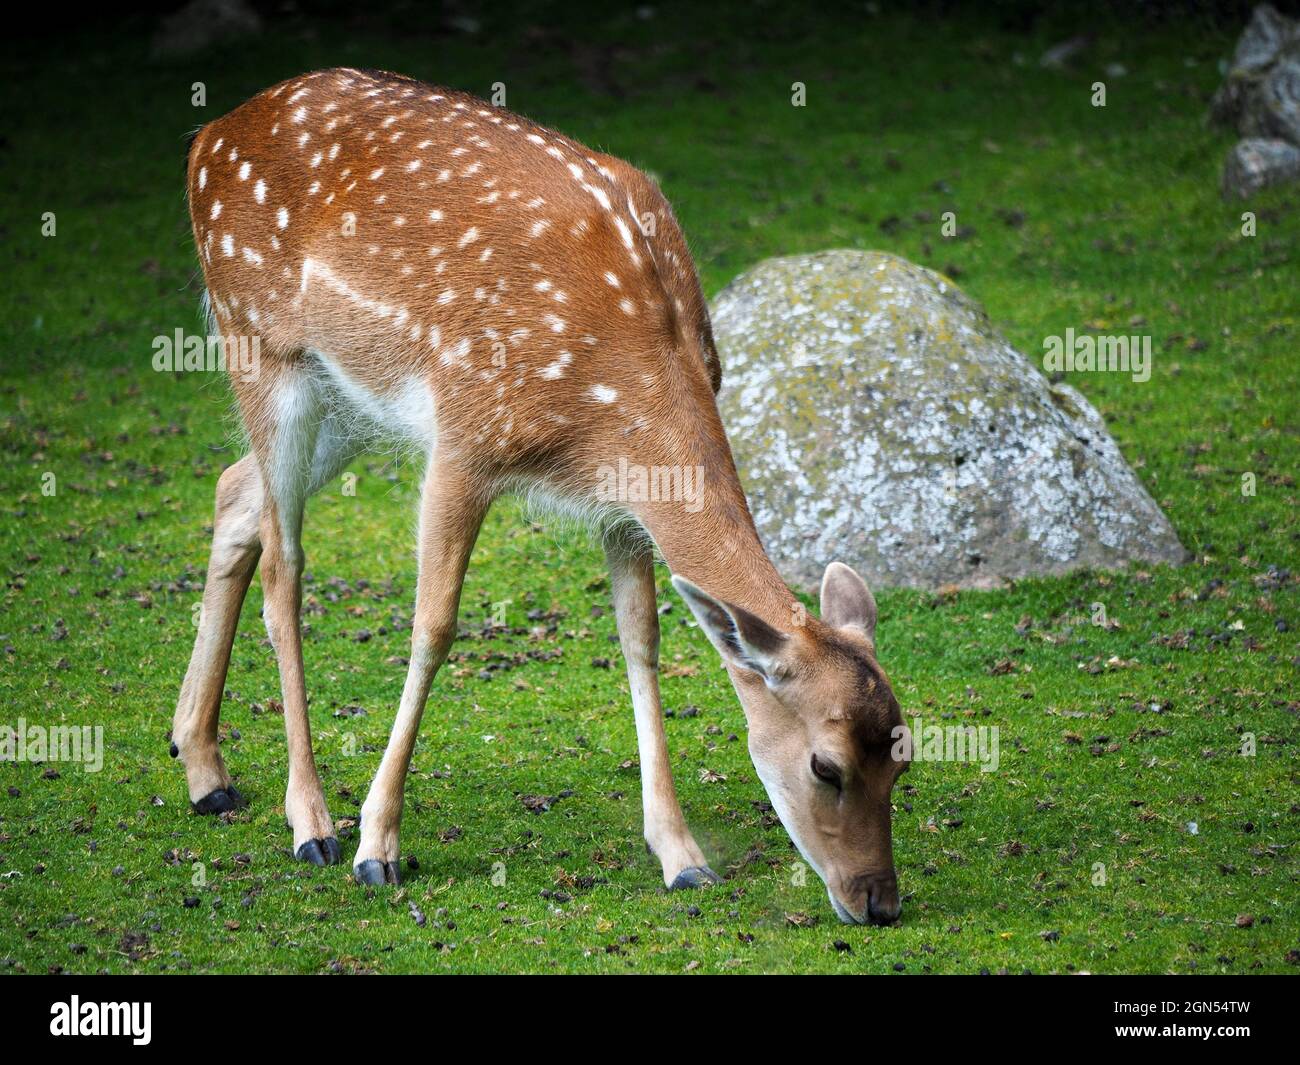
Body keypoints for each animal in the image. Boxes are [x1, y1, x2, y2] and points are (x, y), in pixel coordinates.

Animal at [172, 70, 909, 931]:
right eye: (826, 766)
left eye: (904, 755)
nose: (879, 900)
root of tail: (208, 136)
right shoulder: (464, 437)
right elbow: (433, 627)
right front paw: (377, 845)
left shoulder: (624, 499)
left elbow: (641, 637)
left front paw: (682, 856)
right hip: (259, 343)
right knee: (285, 568)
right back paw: (312, 822)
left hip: (348, 401)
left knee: (234, 492)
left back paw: (205, 770)